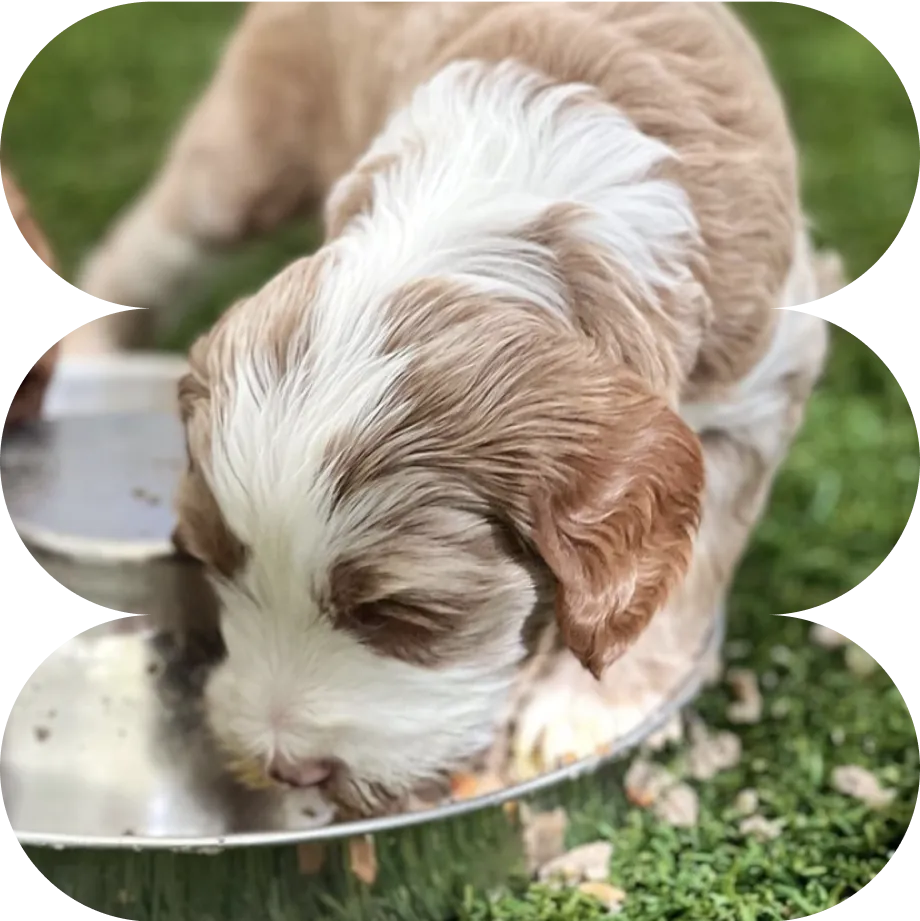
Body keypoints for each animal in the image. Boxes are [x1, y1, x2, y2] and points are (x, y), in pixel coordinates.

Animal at [68, 1, 836, 820]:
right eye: (215, 563)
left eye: (400, 614)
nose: (287, 769)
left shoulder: (766, 371)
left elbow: (698, 551)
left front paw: (583, 711)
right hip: (245, 149)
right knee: (154, 243)